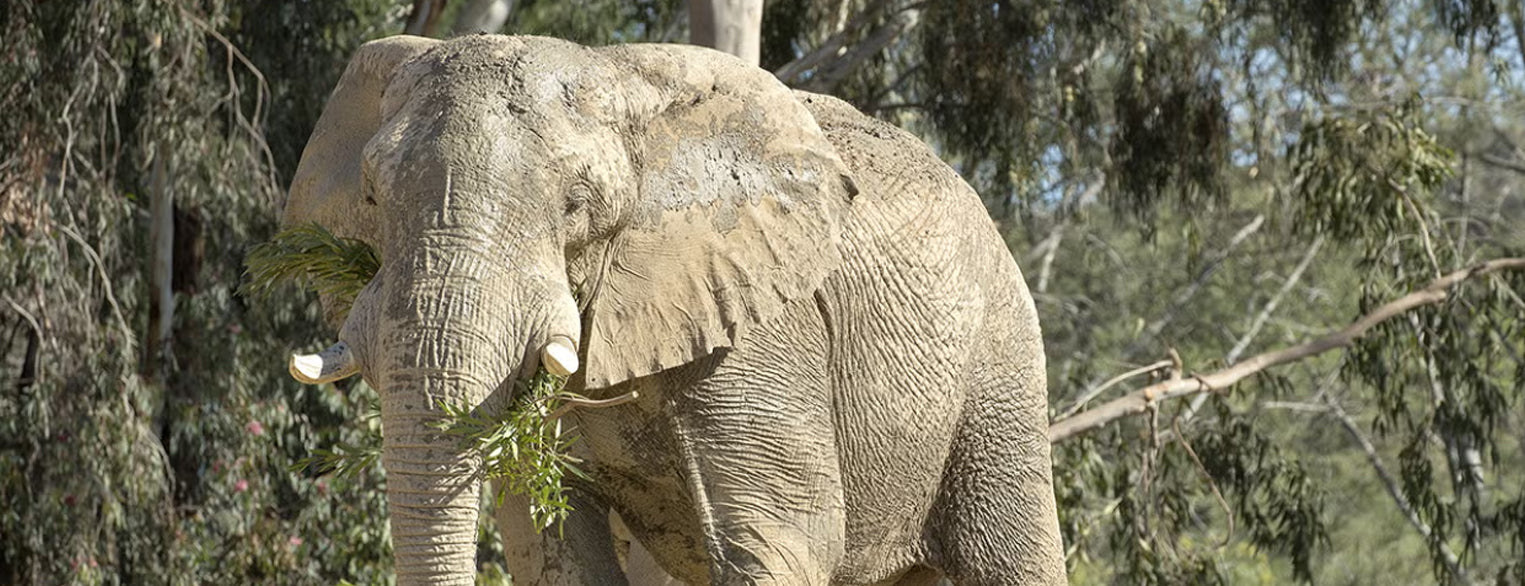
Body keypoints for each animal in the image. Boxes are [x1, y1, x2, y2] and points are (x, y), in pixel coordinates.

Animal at [281, 34, 1065, 585]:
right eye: (373, 198)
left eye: (578, 205)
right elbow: (549, 542)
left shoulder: (759, 320)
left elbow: (785, 539)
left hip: (997, 362)